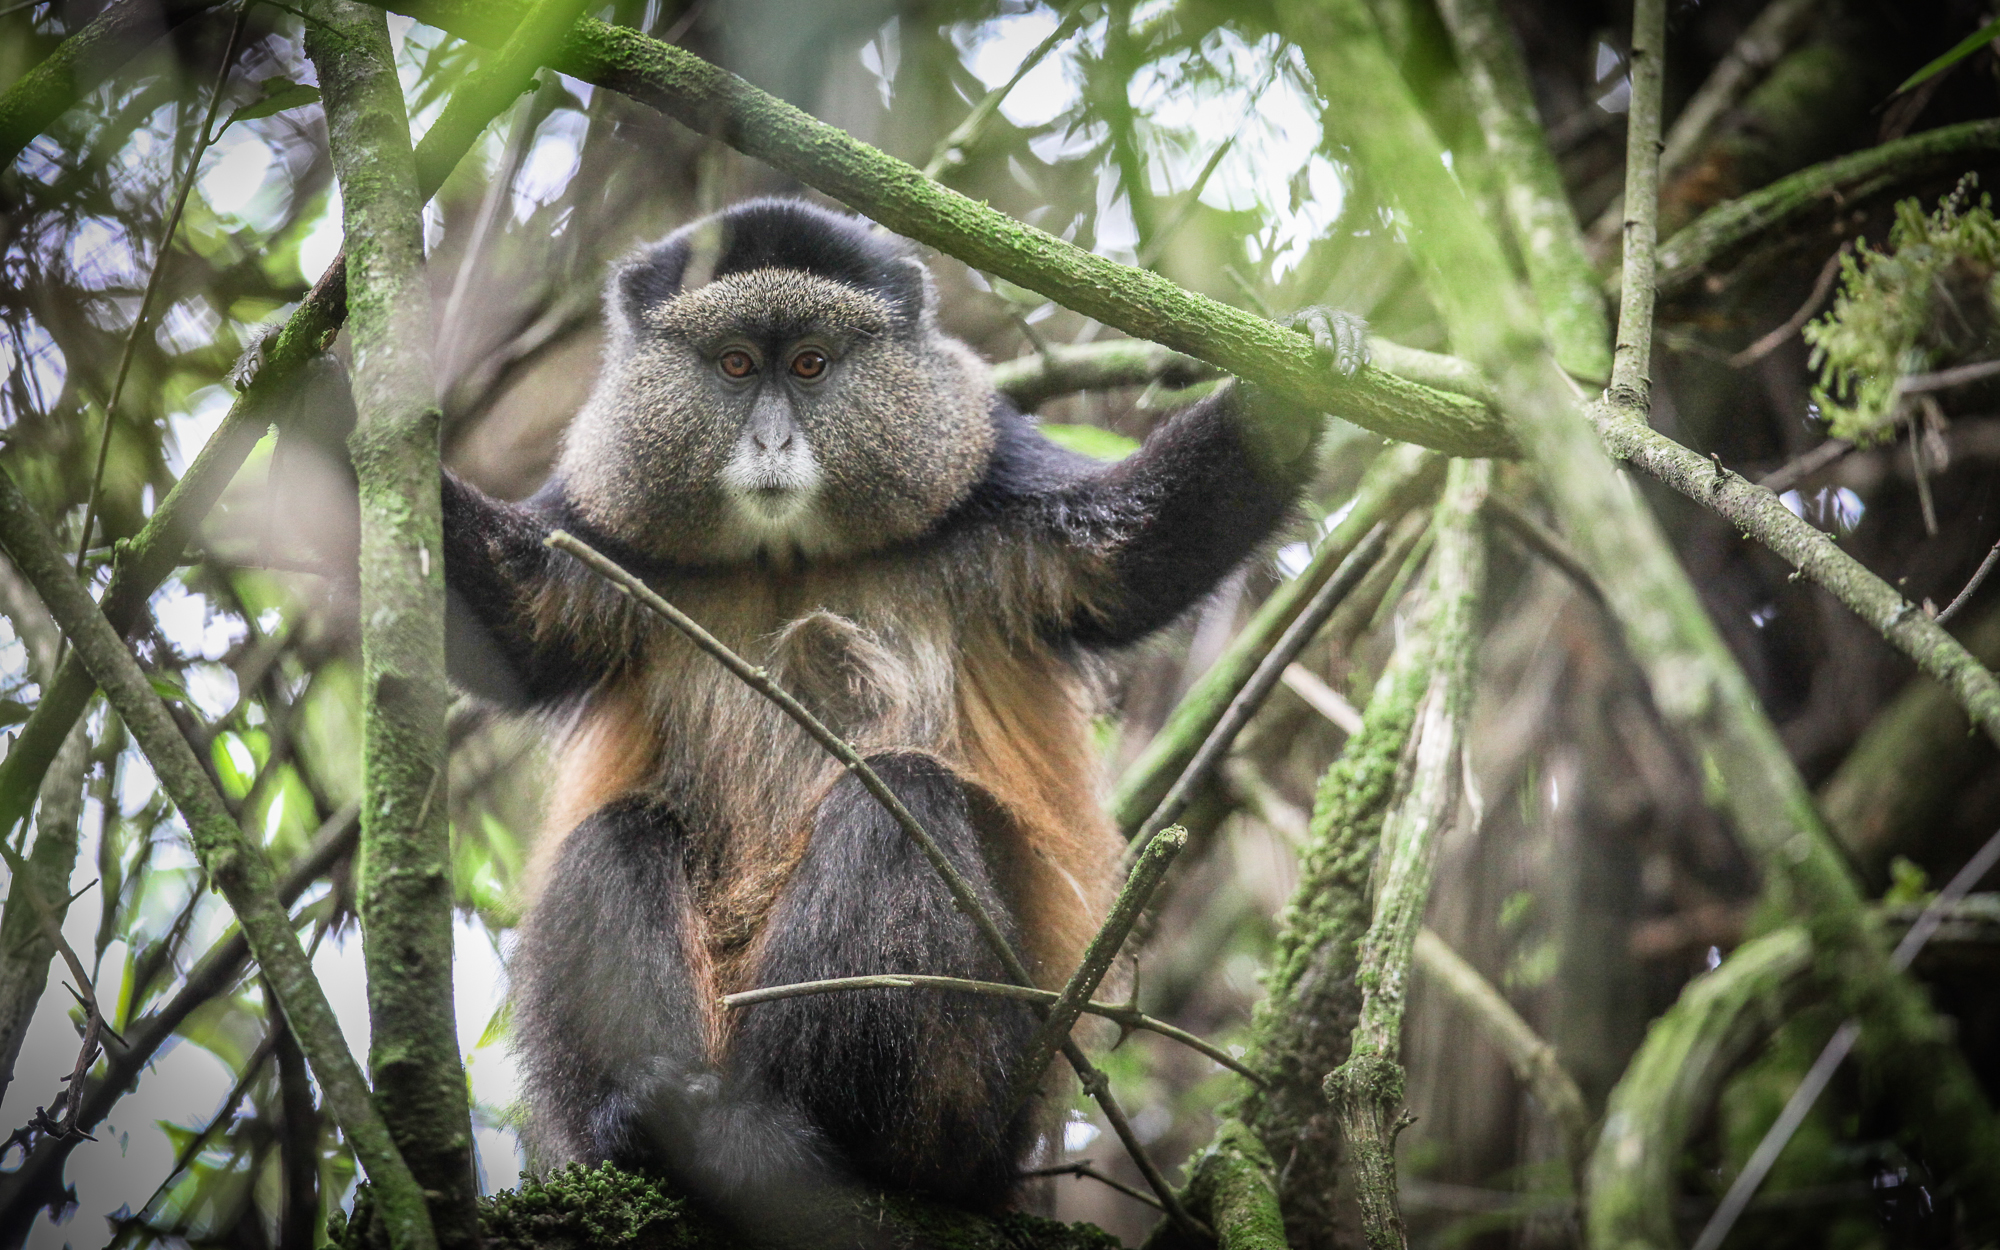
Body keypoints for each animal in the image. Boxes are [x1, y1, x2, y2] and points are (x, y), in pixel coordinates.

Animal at [439, 197, 1366, 1222]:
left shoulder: (992, 478)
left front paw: (1298, 382)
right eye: (735, 365)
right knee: (621, 834)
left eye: (810, 364)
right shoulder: (602, 531)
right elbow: (509, 632)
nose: (772, 442)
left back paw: (817, 1139)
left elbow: (1139, 556)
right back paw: (648, 1125)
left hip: (987, 1094)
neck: (788, 553)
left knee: (905, 795)